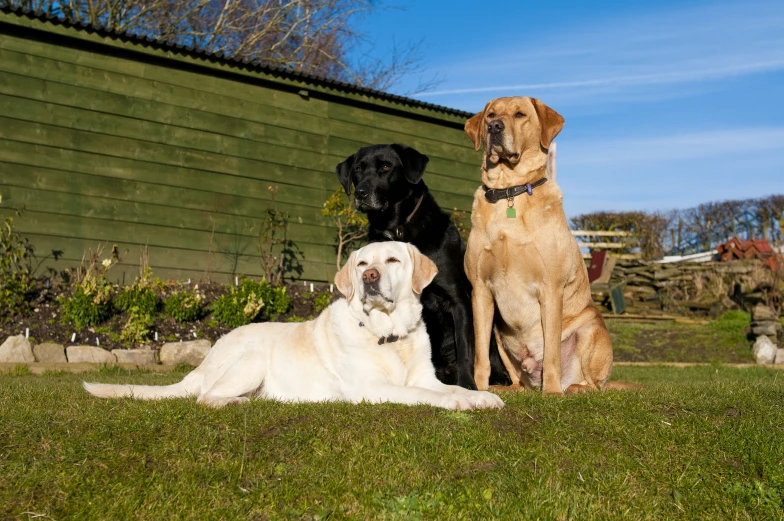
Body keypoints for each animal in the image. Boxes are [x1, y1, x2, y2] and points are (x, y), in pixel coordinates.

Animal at [336, 144, 508, 388]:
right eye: (358, 169)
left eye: (386, 167)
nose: (360, 193)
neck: (398, 229)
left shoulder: (458, 300)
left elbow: (465, 348)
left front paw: (467, 384)